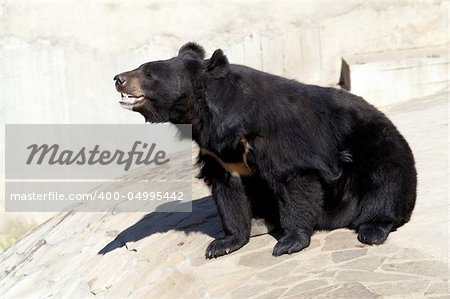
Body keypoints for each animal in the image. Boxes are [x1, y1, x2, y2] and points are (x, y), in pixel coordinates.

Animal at [114, 42, 416, 258]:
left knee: (385, 185)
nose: (117, 78)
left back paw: (372, 229)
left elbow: (293, 178)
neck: (210, 119)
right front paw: (223, 243)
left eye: (148, 73)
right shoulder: (218, 154)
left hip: (379, 151)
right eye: (140, 67)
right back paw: (261, 223)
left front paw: (289, 242)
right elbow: (227, 190)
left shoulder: (274, 135)